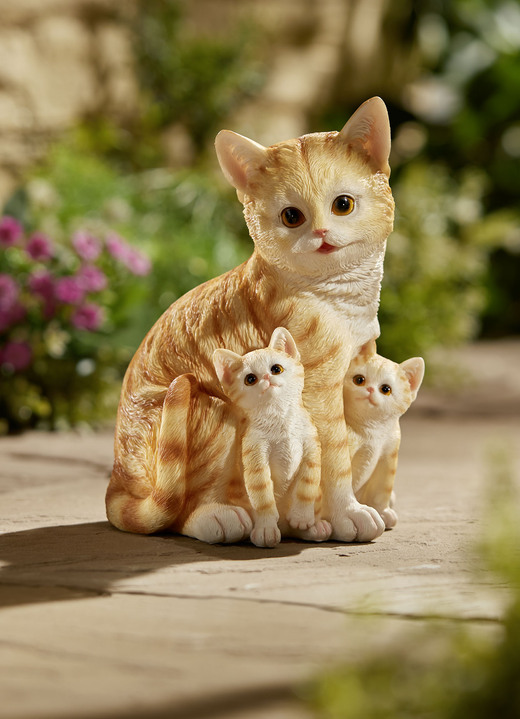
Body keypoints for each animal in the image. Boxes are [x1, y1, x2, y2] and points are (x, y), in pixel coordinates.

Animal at [213, 330, 332, 548]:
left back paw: (314, 527)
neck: (280, 418)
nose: (267, 377)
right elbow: (263, 495)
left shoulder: (312, 449)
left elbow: (307, 486)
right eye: (250, 379)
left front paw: (302, 517)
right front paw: (266, 529)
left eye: (276, 369)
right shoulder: (255, 454)